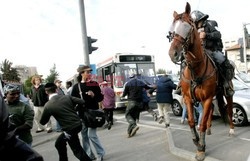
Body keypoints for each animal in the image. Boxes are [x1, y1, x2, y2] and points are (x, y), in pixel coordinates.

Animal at [168, 1, 234, 160]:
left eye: (187, 27)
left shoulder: (207, 98)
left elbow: (201, 123)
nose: (173, 54)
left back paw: (231, 130)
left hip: (226, 93)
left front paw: (201, 148)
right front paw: (196, 140)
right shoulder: (188, 99)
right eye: (172, 30)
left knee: (229, 110)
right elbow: (192, 121)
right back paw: (210, 129)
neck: (196, 69)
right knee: (209, 113)